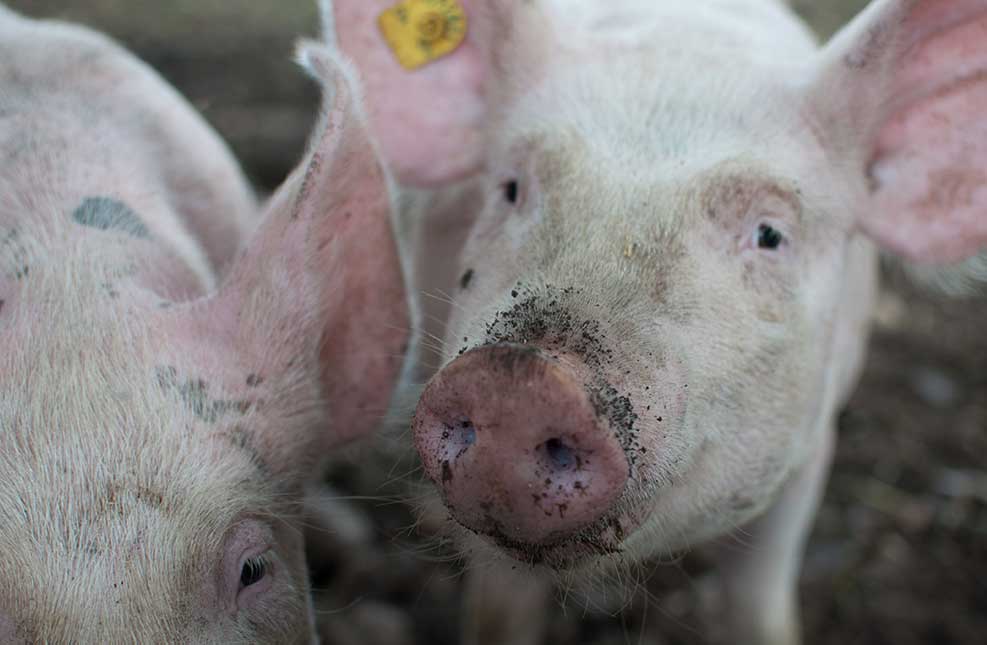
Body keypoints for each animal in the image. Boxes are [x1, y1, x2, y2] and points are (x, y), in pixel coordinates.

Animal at [330, 0, 987, 640]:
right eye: (511, 188)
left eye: (770, 234)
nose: (519, 380)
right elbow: (499, 613)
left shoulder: (811, 447)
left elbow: (757, 606)